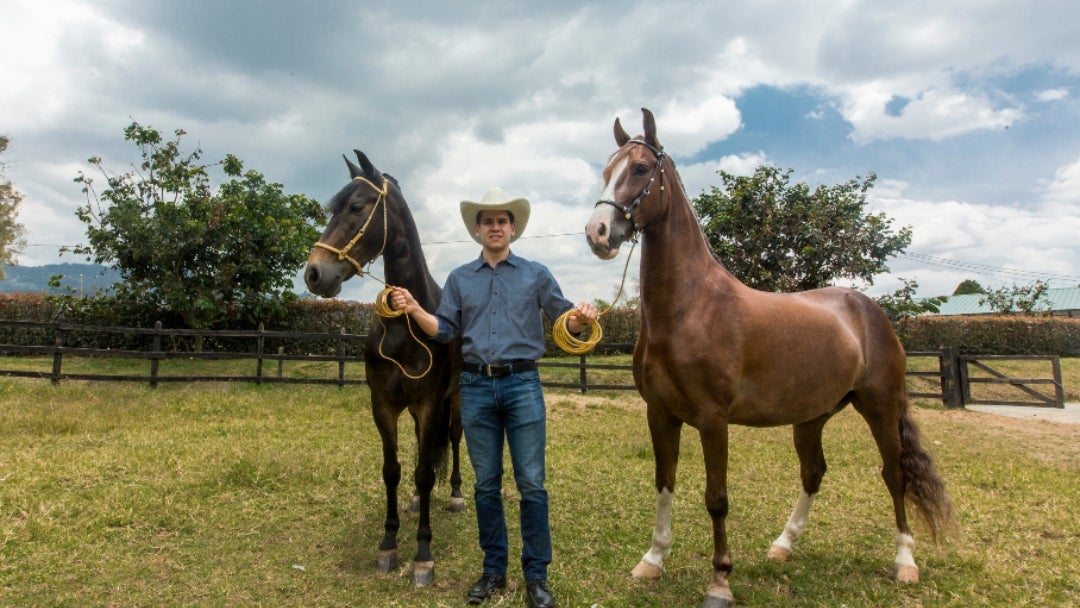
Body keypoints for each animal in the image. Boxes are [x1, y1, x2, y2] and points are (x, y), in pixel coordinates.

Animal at [302, 150, 462, 587]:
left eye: (357, 207)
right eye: (333, 208)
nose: (314, 273)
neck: (406, 326)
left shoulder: (430, 404)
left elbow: (425, 471)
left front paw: (423, 555)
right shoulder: (384, 406)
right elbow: (393, 469)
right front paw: (389, 544)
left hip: (456, 400)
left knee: (455, 440)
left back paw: (457, 494)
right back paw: (416, 501)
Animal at [583, 109, 954, 608]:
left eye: (640, 169)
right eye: (607, 171)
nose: (598, 233)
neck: (688, 308)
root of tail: (868, 309)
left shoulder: (713, 419)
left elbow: (716, 497)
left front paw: (720, 581)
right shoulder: (660, 413)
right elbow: (664, 483)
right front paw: (652, 560)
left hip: (880, 407)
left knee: (894, 475)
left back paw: (905, 563)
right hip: (812, 417)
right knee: (814, 472)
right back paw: (783, 545)